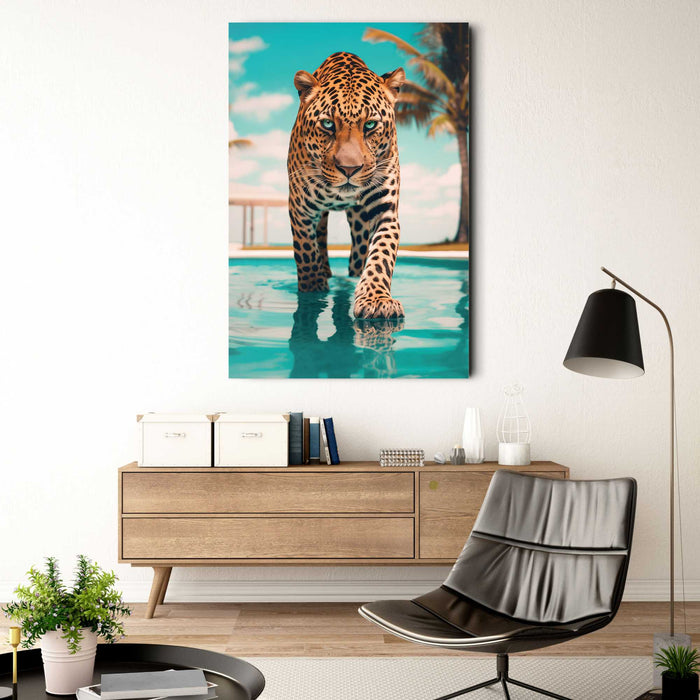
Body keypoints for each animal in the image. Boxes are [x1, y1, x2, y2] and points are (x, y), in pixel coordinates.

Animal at [287, 52, 406, 319]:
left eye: (370, 125)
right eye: (328, 124)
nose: (349, 169)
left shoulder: (384, 211)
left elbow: (382, 254)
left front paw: (377, 301)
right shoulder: (300, 209)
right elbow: (306, 253)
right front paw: (313, 290)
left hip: (360, 223)